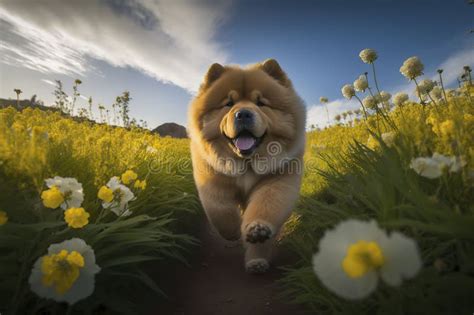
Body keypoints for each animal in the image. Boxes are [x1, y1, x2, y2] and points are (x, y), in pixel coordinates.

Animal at [187, 59, 306, 274]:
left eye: (261, 103)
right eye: (228, 103)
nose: (243, 114)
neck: (246, 164)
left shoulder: (278, 181)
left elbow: (265, 207)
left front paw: (256, 231)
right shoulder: (212, 179)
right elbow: (220, 210)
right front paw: (233, 231)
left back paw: (257, 262)